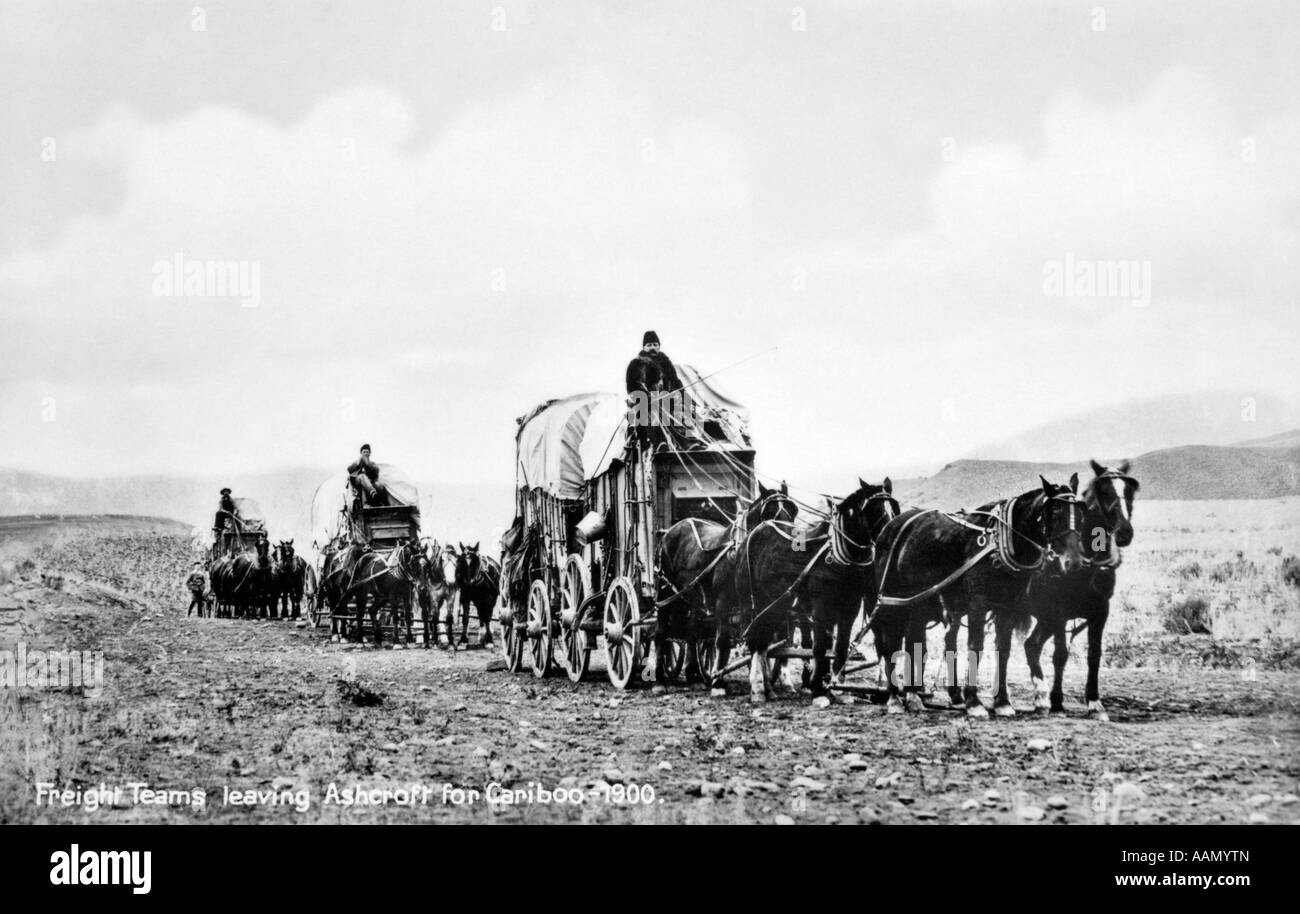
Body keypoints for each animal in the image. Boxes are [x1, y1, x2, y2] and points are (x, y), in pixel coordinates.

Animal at [650, 483, 800, 681]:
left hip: (692, 598)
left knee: (691, 633)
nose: (789, 546)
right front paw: (718, 679)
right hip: (666, 591)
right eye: (768, 512)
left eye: (793, 510)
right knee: (660, 632)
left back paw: (692, 671)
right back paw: (660, 675)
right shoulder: (723, 601)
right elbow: (722, 641)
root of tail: (669, 532)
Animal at [707, 483, 899, 702]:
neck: (837, 558)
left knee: (763, 641)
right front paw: (818, 689)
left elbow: (840, 647)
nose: (891, 536)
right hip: (747, 602)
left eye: (894, 507)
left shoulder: (850, 608)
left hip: (774, 606)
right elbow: (819, 647)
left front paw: (836, 688)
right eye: (874, 509)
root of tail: (750, 536)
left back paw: (768, 688)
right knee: (747, 641)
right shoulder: (820, 608)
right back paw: (751, 687)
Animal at [873, 475, 1086, 717]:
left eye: (1080, 515)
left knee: (913, 641)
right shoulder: (978, 603)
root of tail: (890, 526)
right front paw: (973, 702)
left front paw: (1003, 702)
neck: (999, 543)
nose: (1074, 562)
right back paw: (894, 699)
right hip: (891, 600)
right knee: (889, 644)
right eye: (1057, 513)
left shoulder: (1008, 606)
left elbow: (1003, 649)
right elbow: (975, 646)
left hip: (917, 603)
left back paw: (913, 696)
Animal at [1013, 460, 1138, 717]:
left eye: (1130, 491)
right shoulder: (1059, 612)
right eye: (1105, 491)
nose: (1125, 532)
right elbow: (1060, 654)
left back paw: (1040, 696)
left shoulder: (1100, 611)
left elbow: (1094, 655)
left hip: (1044, 619)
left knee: (1031, 645)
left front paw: (1094, 702)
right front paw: (1057, 703)